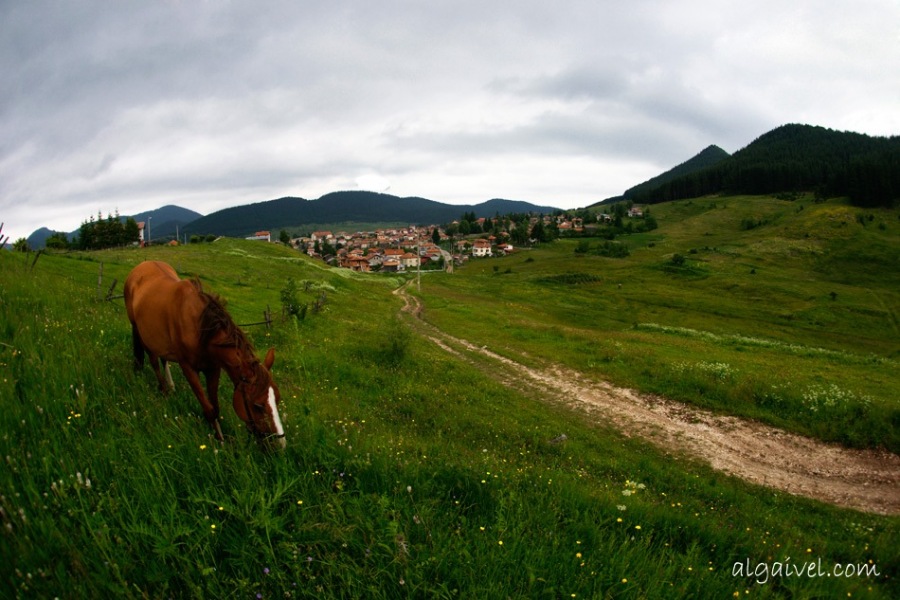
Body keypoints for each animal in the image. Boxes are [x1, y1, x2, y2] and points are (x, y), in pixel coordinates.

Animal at [124, 260, 284, 448]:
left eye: (277, 399)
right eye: (257, 406)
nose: (280, 444)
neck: (200, 328)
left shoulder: (213, 369)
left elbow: (215, 406)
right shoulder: (188, 368)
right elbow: (209, 409)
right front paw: (220, 442)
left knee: (163, 359)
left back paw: (171, 386)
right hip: (141, 332)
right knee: (154, 361)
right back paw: (164, 389)